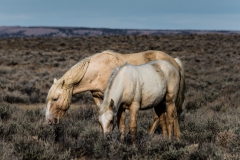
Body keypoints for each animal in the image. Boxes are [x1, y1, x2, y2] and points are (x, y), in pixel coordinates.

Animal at [45, 50, 184, 134]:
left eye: (55, 98)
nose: (49, 120)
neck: (99, 70)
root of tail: (174, 61)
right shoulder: (98, 98)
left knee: (169, 115)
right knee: (162, 116)